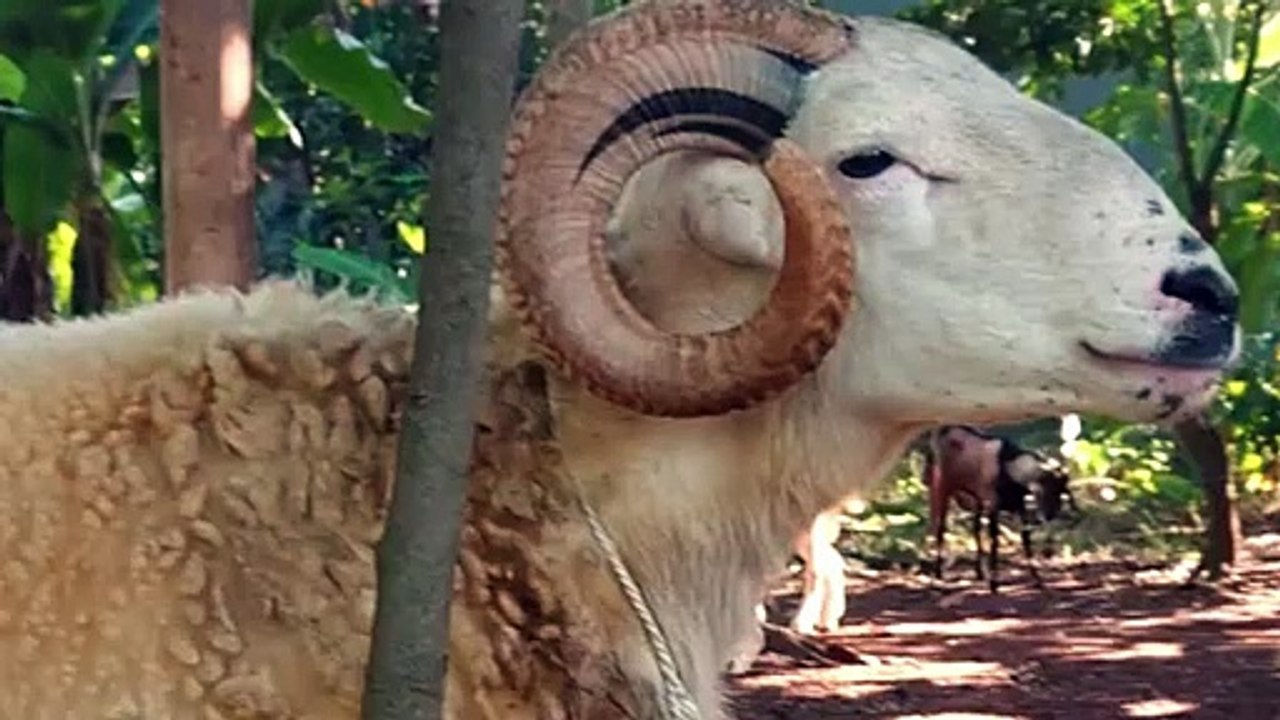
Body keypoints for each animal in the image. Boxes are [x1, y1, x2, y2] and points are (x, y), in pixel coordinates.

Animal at [927, 425, 1077, 591]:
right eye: (1049, 488)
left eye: (1061, 490)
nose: (1050, 515)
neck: (1007, 466)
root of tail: (945, 429)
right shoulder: (994, 505)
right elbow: (994, 540)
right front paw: (994, 584)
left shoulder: (1019, 506)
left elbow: (1026, 539)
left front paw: (1037, 579)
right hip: (943, 487)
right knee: (940, 528)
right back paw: (938, 574)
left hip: (976, 498)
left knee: (976, 528)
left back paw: (979, 572)